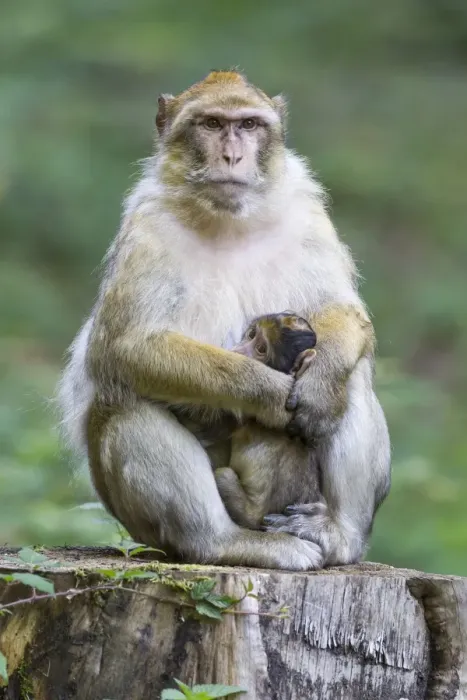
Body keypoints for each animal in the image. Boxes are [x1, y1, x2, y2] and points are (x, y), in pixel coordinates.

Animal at [57, 70, 390, 571]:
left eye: (248, 124)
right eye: (212, 123)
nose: (232, 155)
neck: (228, 222)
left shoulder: (307, 213)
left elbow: (341, 312)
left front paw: (318, 387)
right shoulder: (146, 229)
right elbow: (126, 348)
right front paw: (268, 393)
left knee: (352, 378)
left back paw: (339, 535)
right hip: (143, 525)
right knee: (124, 398)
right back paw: (220, 541)